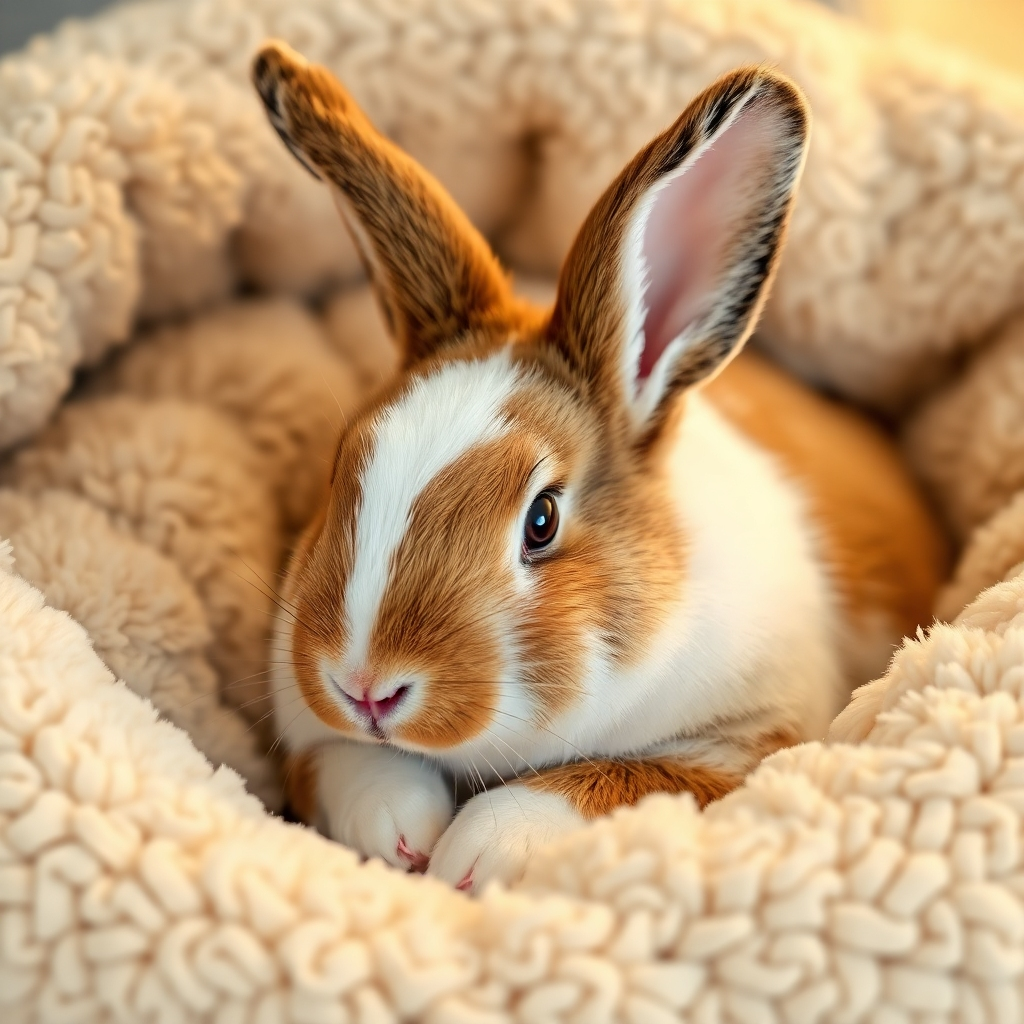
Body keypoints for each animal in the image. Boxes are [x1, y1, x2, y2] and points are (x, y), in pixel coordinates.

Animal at [252, 42, 947, 893]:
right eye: (343, 462)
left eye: (542, 520)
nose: (365, 687)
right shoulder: (308, 740)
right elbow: (348, 766)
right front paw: (399, 829)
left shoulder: (751, 747)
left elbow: (615, 781)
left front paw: (476, 851)